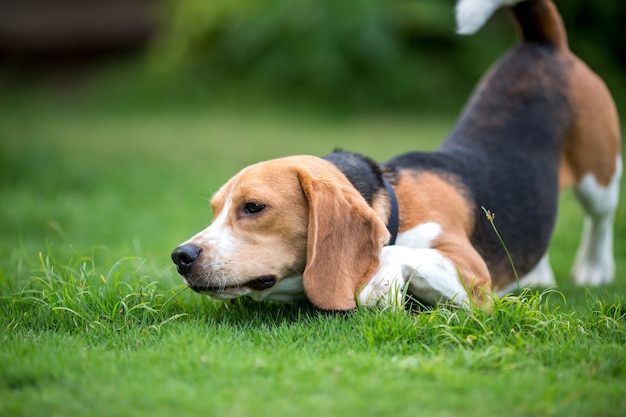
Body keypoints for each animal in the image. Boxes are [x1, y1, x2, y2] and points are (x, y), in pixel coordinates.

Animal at [171, 0, 620, 308]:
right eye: (215, 211)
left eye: (253, 207)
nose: (181, 256)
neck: (391, 205)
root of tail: (541, 44)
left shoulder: (473, 275)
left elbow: (395, 251)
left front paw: (380, 279)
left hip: (599, 174)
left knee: (601, 218)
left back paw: (595, 269)